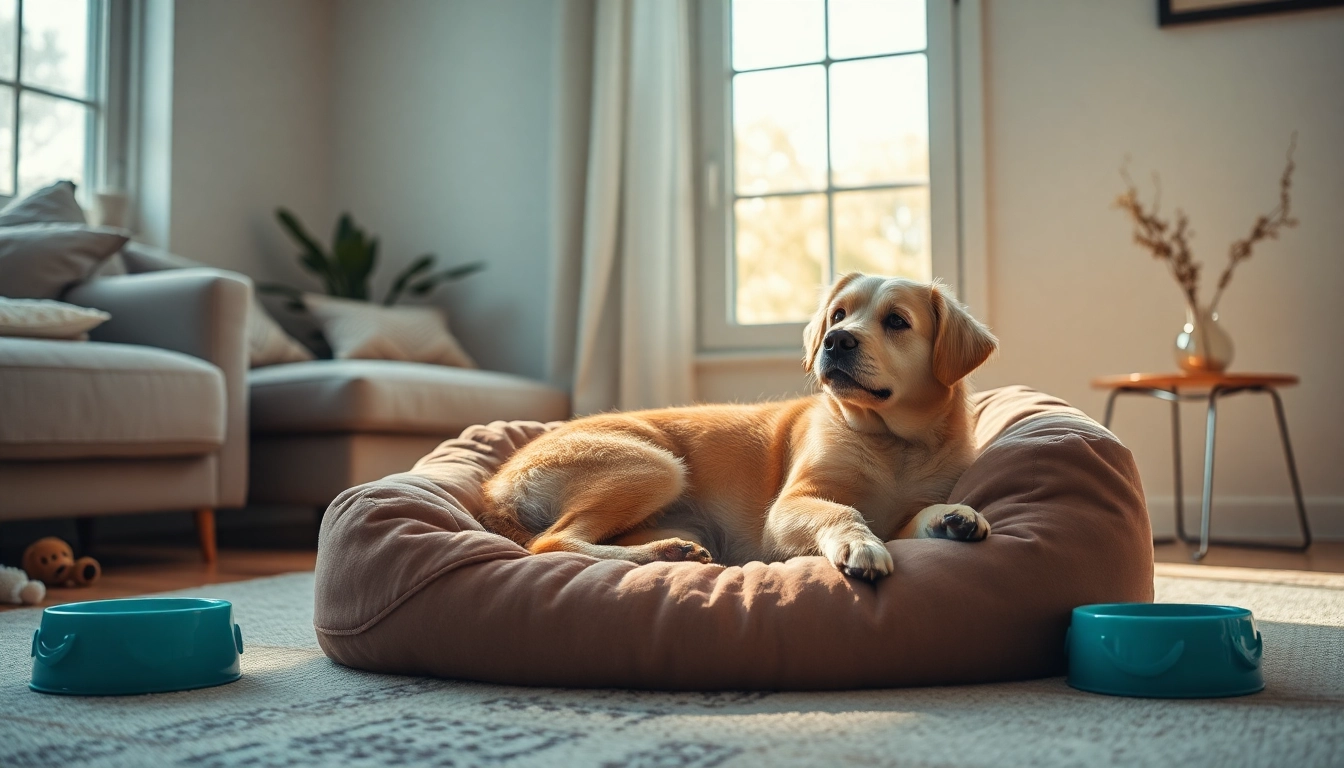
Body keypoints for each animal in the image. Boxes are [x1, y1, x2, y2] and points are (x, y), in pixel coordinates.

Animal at [478, 273, 994, 581]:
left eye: (897, 322)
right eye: (839, 314)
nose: (834, 340)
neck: (893, 441)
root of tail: (495, 487)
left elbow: (915, 518)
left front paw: (954, 516)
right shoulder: (787, 510)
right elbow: (842, 511)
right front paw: (858, 543)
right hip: (654, 465)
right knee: (551, 542)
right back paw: (664, 555)